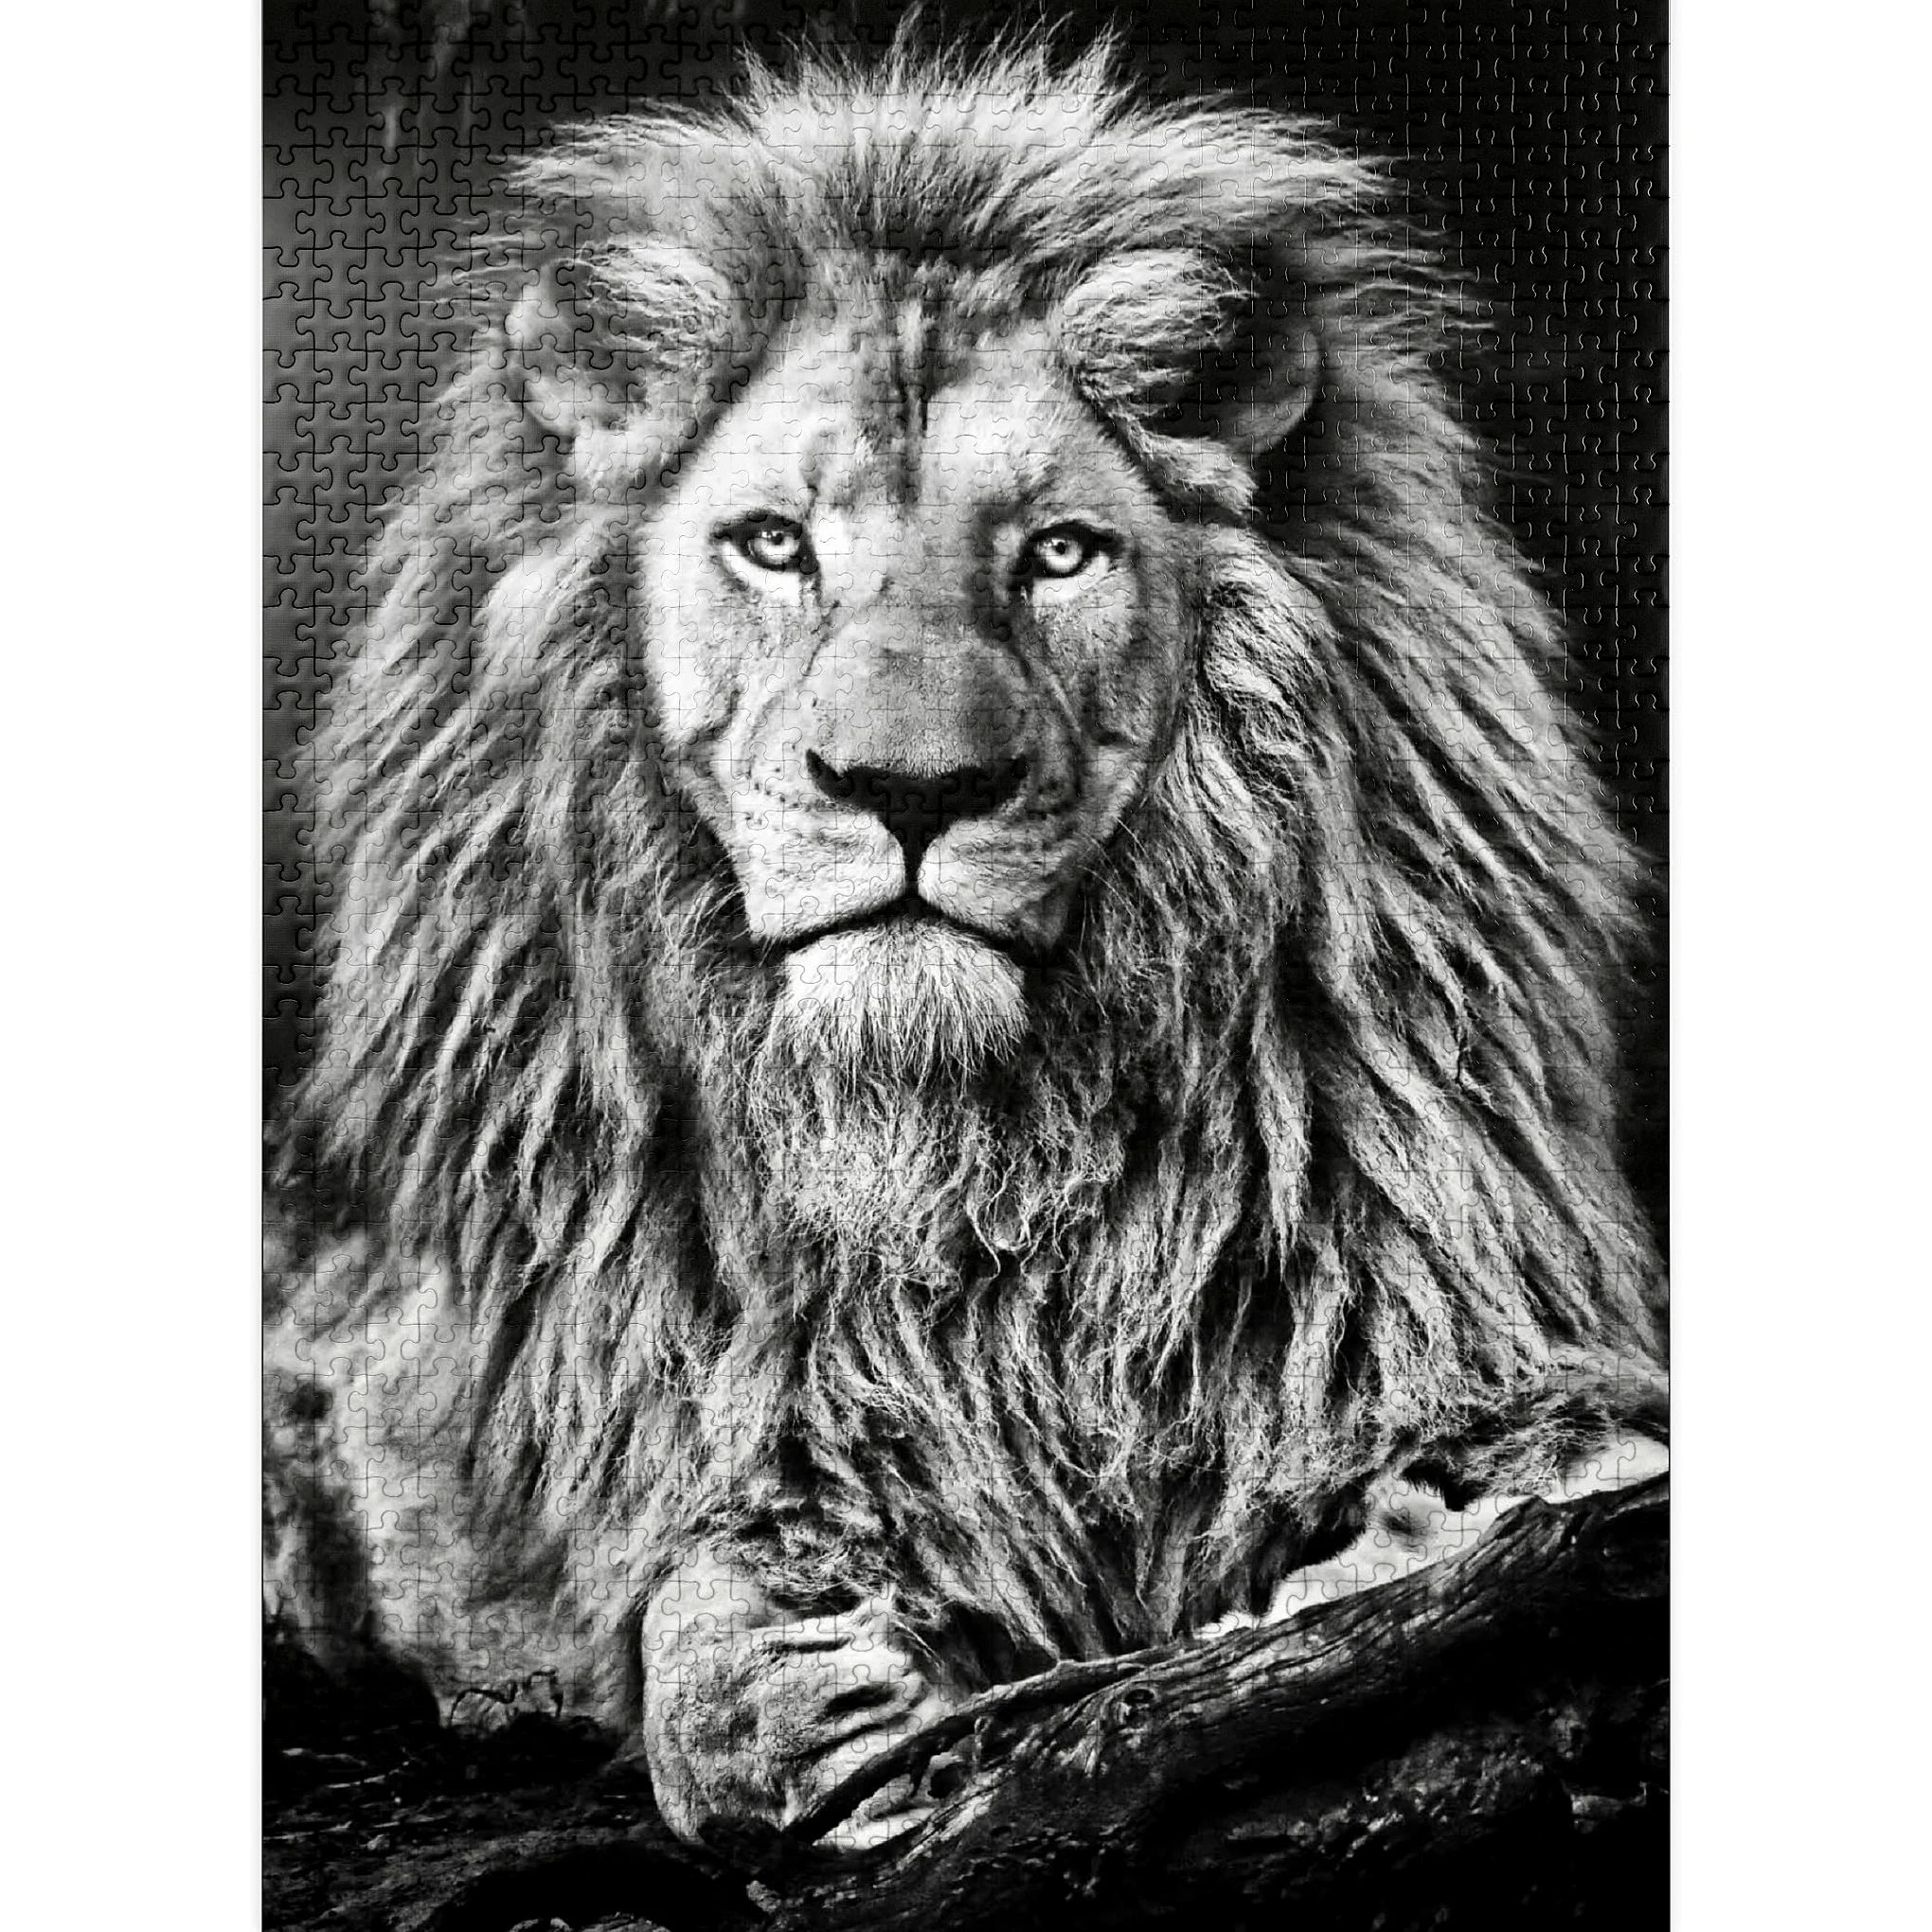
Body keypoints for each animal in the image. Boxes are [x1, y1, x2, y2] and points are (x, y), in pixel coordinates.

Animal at [266, 36, 1667, 1853]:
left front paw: (1371, 1557)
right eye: (774, 543)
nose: (911, 789)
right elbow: (691, 1641)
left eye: (1058, 553)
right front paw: (824, 1693)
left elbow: (1565, 1477)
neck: (964, 1156)